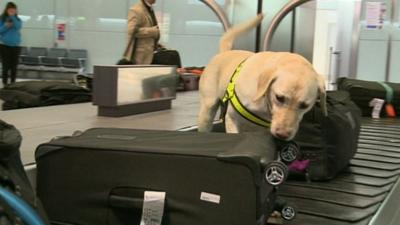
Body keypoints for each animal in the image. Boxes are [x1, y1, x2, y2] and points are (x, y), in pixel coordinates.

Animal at [198, 14, 326, 141]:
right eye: (279, 98)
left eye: (304, 105)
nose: (282, 135)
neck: (264, 101)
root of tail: (224, 52)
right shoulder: (232, 118)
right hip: (207, 111)